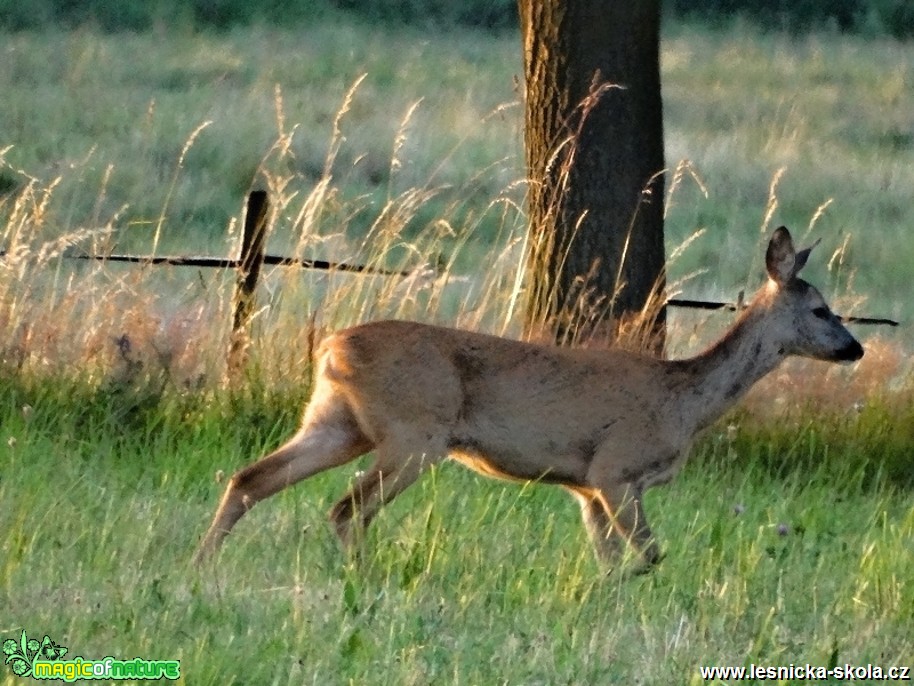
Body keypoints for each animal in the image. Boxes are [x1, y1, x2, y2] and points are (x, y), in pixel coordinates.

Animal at [194, 230, 864, 576]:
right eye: (821, 310)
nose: (855, 348)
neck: (686, 401)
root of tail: (332, 344)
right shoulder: (615, 467)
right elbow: (650, 554)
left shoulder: (588, 488)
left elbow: (612, 559)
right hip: (413, 432)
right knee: (345, 508)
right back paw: (365, 579)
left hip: (337, 421)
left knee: (251, 477)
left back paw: (201, 566)